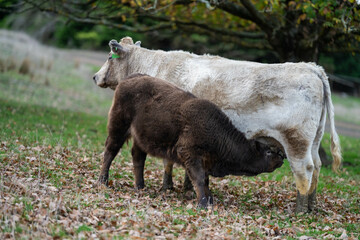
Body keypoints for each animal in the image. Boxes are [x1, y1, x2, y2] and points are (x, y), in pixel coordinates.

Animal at [99, 74, 284, 207]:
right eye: (268, 151)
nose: (282, 156)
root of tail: (128, 79)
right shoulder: (189, 154)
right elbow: (200, 179)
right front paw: (203, 203)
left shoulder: (205, 161)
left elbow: (205, 180)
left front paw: (209, 200)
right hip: (118, 128)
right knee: (110, 151)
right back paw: (103, 181)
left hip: (140, 138)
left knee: (138, 157)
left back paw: (140, 186)